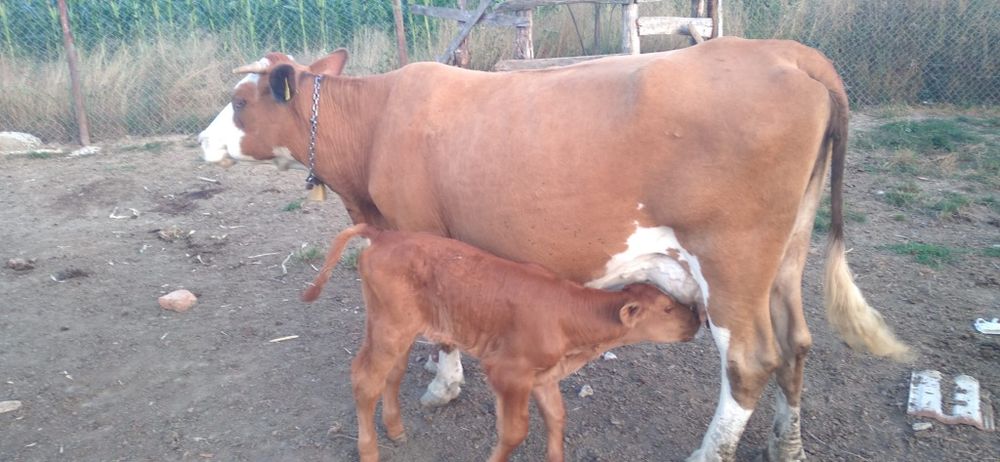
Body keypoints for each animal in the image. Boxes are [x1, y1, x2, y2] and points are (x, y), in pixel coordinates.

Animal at [302, 224, 701, 462]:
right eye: (667, 307)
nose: (698, 318)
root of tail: (385, 235)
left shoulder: (542, 375)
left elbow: (557, 416)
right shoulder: (508, 372)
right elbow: (515, 431)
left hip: (397, 328)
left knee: (391, 373)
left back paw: (396, 429)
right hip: (390, 326)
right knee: (365, 379)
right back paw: (369, 449)